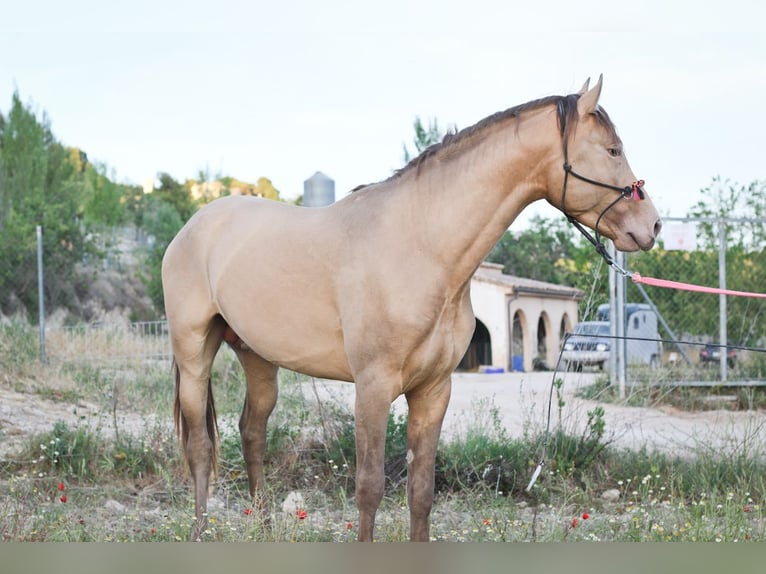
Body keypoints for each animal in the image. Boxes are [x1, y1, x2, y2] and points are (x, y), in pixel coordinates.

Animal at [160, 74, 660, 544]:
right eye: (613, 150)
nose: (651, 225)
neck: (422, 247)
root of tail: (191, 228)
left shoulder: (434, 390)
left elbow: (420, 492)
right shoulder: (373, 386)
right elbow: (369, 488)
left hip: (258, 358)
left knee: (252, 434)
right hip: (194, 353)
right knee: (201, 447)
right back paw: (200, 532)